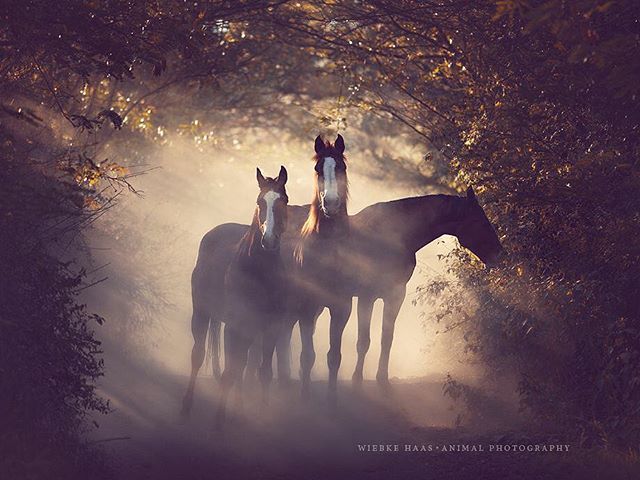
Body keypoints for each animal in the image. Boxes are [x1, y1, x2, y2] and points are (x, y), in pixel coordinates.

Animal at [181, 166, 289, 424]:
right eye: (260, 201)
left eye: (284, 201)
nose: (269, 241)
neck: (260, 275)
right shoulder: (234, 326)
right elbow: (229, 371)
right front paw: (219, 420)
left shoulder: (270, 328)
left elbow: (263, 372)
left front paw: (262, 413)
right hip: (202, 313)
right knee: (198, 355)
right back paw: (187, 406)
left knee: (241, 367)